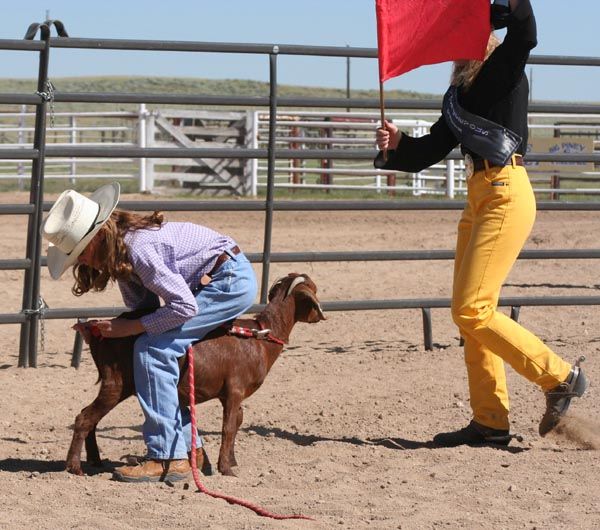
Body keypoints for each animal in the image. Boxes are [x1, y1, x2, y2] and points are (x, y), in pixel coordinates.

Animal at [65, 272, 326, 474]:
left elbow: (238, 421)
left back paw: (95, 461)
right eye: (313, 291)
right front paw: (226, 469)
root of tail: (98, 332)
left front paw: (231, 462)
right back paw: (74, 467)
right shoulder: (235, 390)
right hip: (117, 383)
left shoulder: (232, 395)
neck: (260, 338)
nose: (319, 316)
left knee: (90, 417)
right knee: (85, 417)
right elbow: (228, 426)